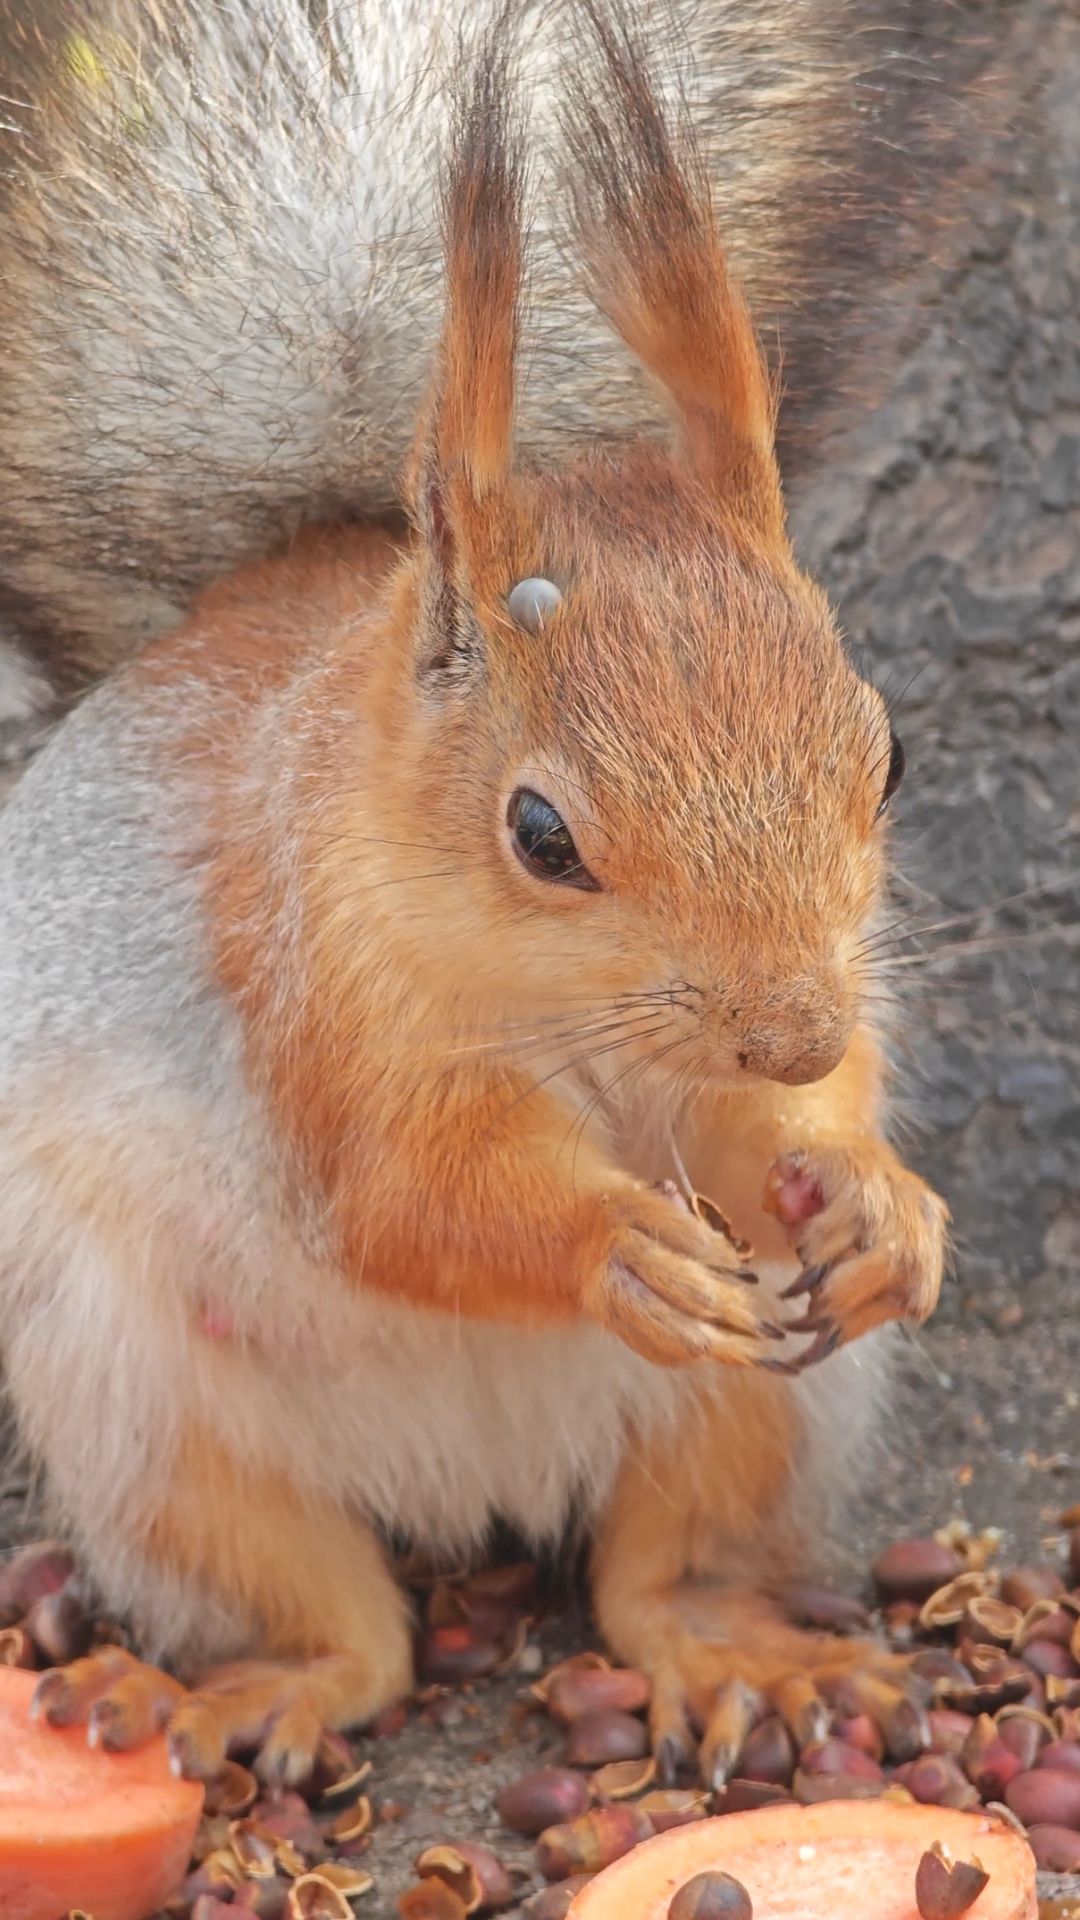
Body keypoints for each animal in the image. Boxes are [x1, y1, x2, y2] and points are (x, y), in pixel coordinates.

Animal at [0, 2, 956, 1785]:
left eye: (890, 755)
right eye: (542, 832)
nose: (794, 1034)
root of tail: (479, 1487)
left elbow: (776, 1144)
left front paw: (873, 1192)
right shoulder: (306, 989)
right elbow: (402, 1197)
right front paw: (611, 1244)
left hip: (768, 1404)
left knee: (659, 1579)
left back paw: (746, 1660)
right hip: (144, 1426)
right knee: (340, 1629)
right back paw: (246, 1694)